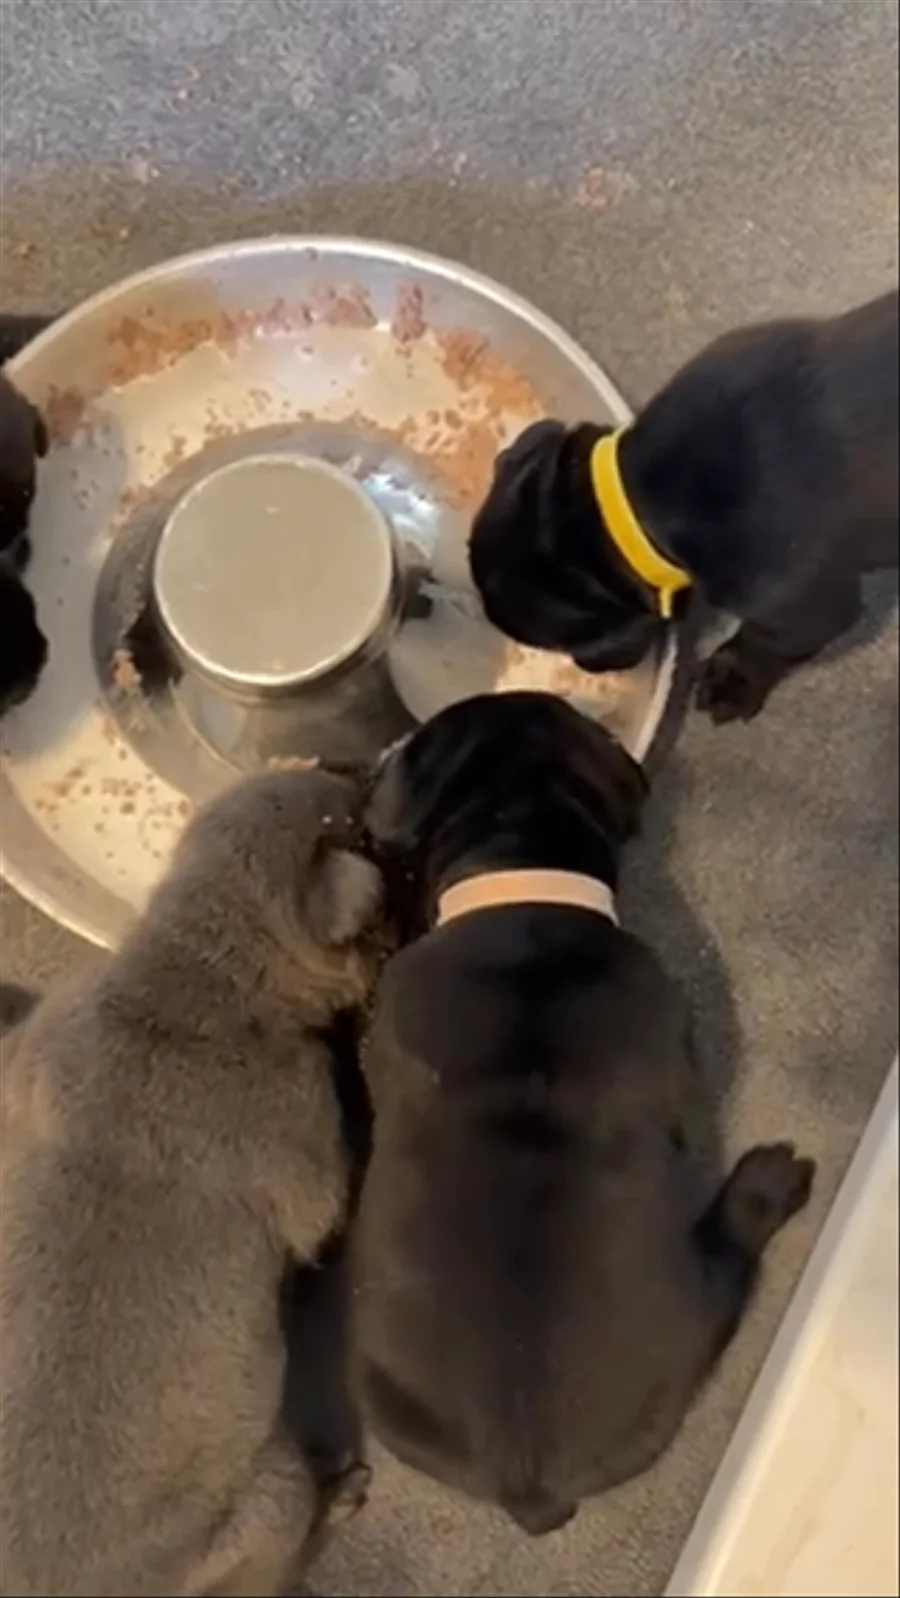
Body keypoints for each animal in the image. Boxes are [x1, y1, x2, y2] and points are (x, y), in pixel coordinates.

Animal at [0, 769, 387, 1596]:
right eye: (352, 824)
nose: (357, 768)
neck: (180, 988)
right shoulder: (302, 1140)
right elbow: (330, 1204)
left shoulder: (37, 1050)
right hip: (270, 1493)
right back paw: (340, 1493)